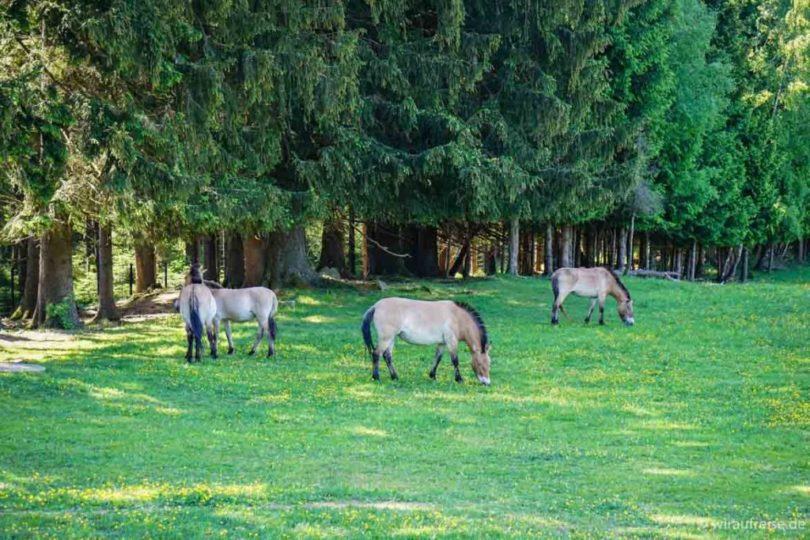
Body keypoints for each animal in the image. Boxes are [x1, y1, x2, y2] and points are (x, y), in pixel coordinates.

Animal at [362, 300, 492, 384]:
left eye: (489, 364)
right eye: (480, 364)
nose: (487, 382)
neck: (457, 317)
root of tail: (376, 306)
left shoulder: (442, 343)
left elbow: (438, 358)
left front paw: (432, 375)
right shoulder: (451, 341)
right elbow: (455, 361)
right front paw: (459, 379)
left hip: (392, 338)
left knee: (387, 356)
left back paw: (395, 377)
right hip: (386, 338)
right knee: (376, 354)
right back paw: (376, 377)